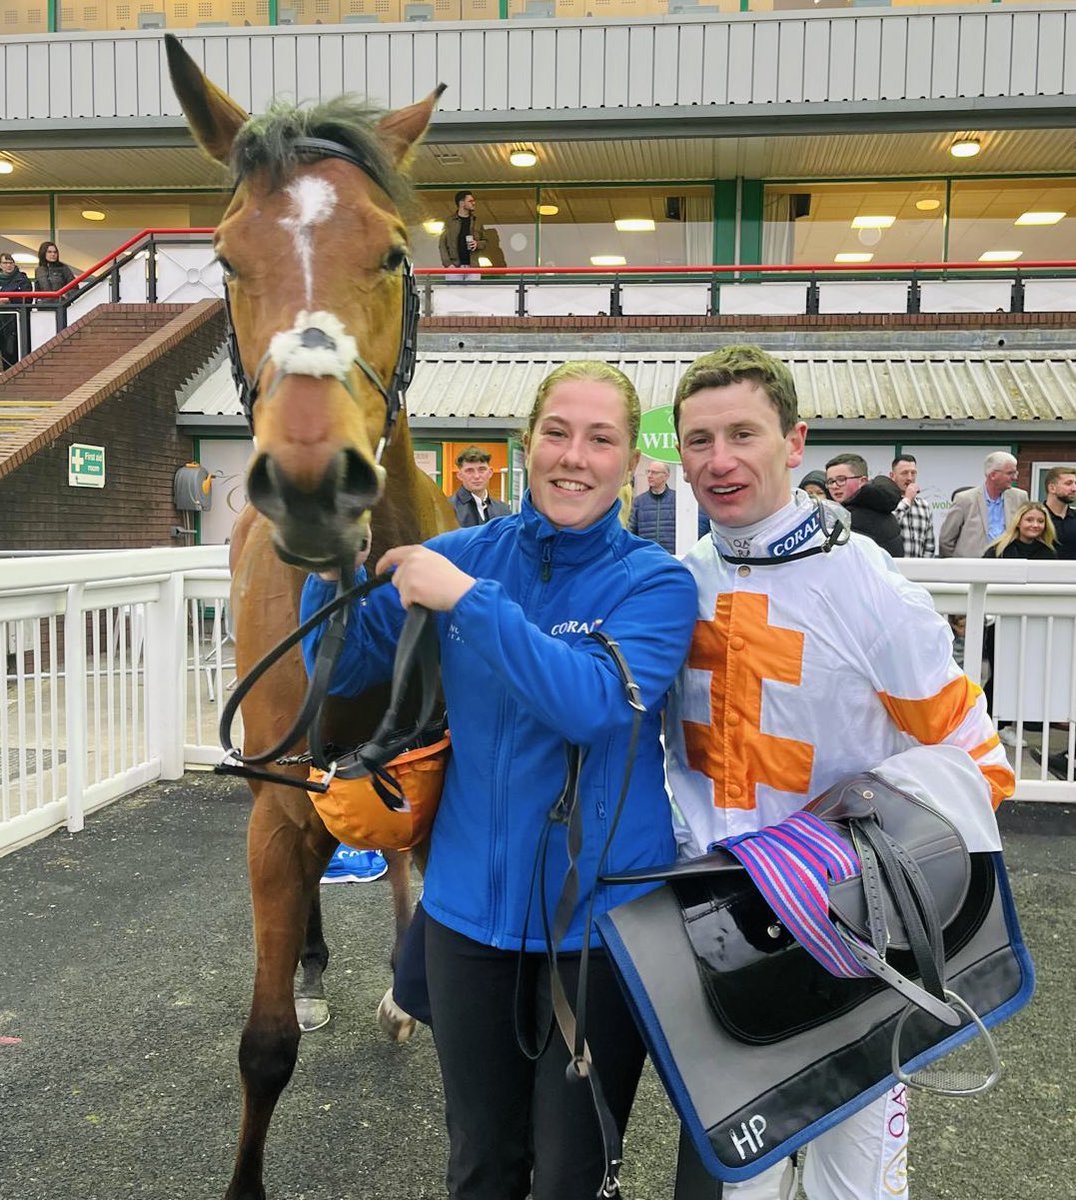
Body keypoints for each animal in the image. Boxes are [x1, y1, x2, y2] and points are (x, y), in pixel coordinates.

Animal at [164, 35, 458, 1200]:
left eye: (391, 254)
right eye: (226, 260)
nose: (308, 485)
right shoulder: (278, 811)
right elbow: (263, 1046)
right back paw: (319, 968)